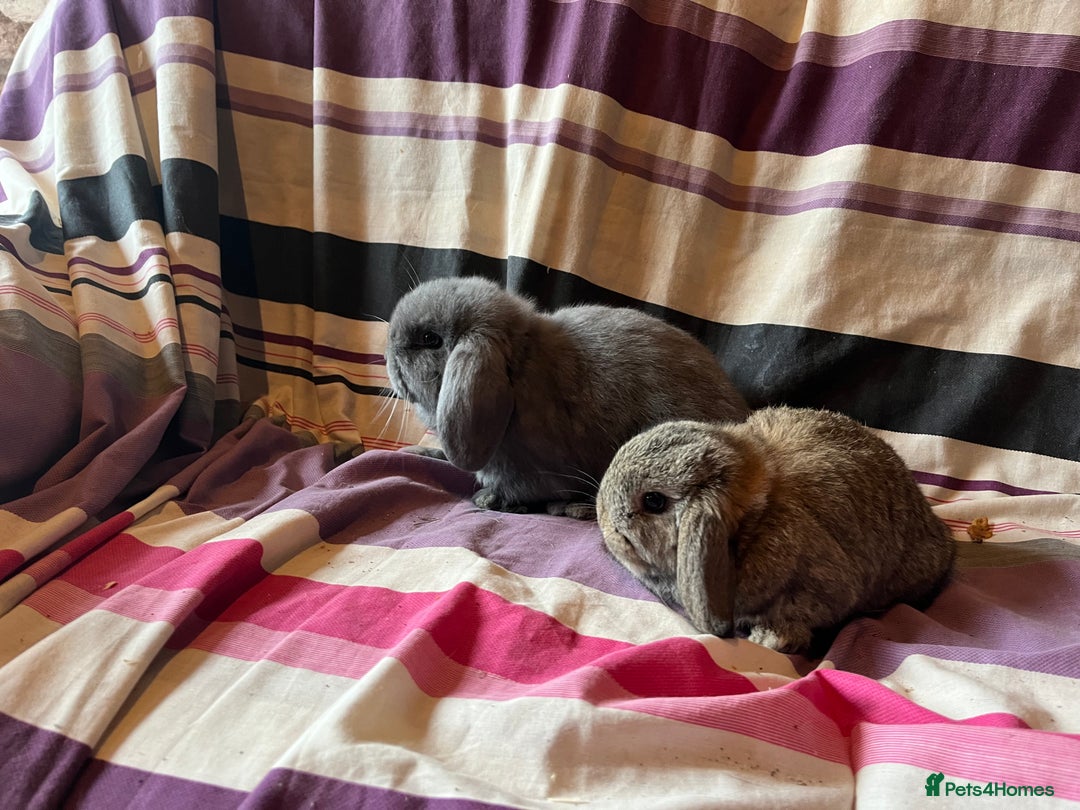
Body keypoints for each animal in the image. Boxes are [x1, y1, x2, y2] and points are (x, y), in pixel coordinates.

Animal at [384, 276, 749, 518]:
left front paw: (488, 499)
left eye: (429, 339)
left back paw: (570, 507)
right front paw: (420, 451)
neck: (518, 368)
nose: (387, 352)